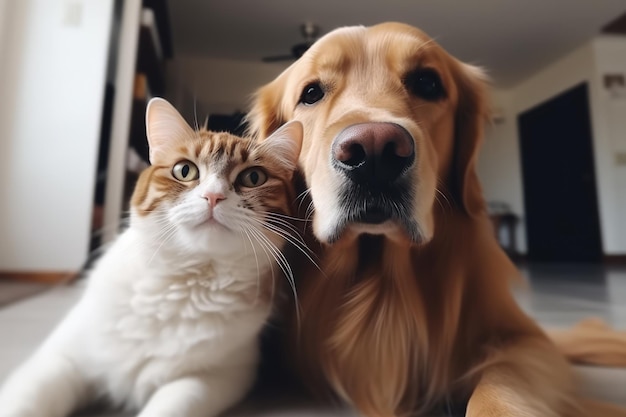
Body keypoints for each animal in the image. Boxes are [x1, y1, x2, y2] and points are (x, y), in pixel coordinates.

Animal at [0, 98, 302, 416]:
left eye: (253, 177)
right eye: (185, 171)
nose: (213, 196)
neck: (183, 285)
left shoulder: (213, 377)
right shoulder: (61, 358)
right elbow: (23, 403)